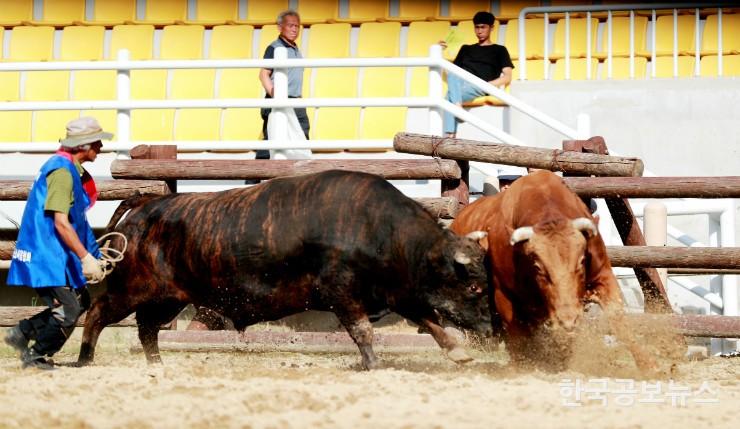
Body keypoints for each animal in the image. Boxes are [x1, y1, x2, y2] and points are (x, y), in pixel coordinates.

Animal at [450, 169, 652, 370]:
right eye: (538, 267)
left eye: (581, 261)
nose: (568, 320)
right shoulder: (504, 295)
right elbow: (518, 338)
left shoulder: (604, 276)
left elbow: (618, 319)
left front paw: (650, 365)